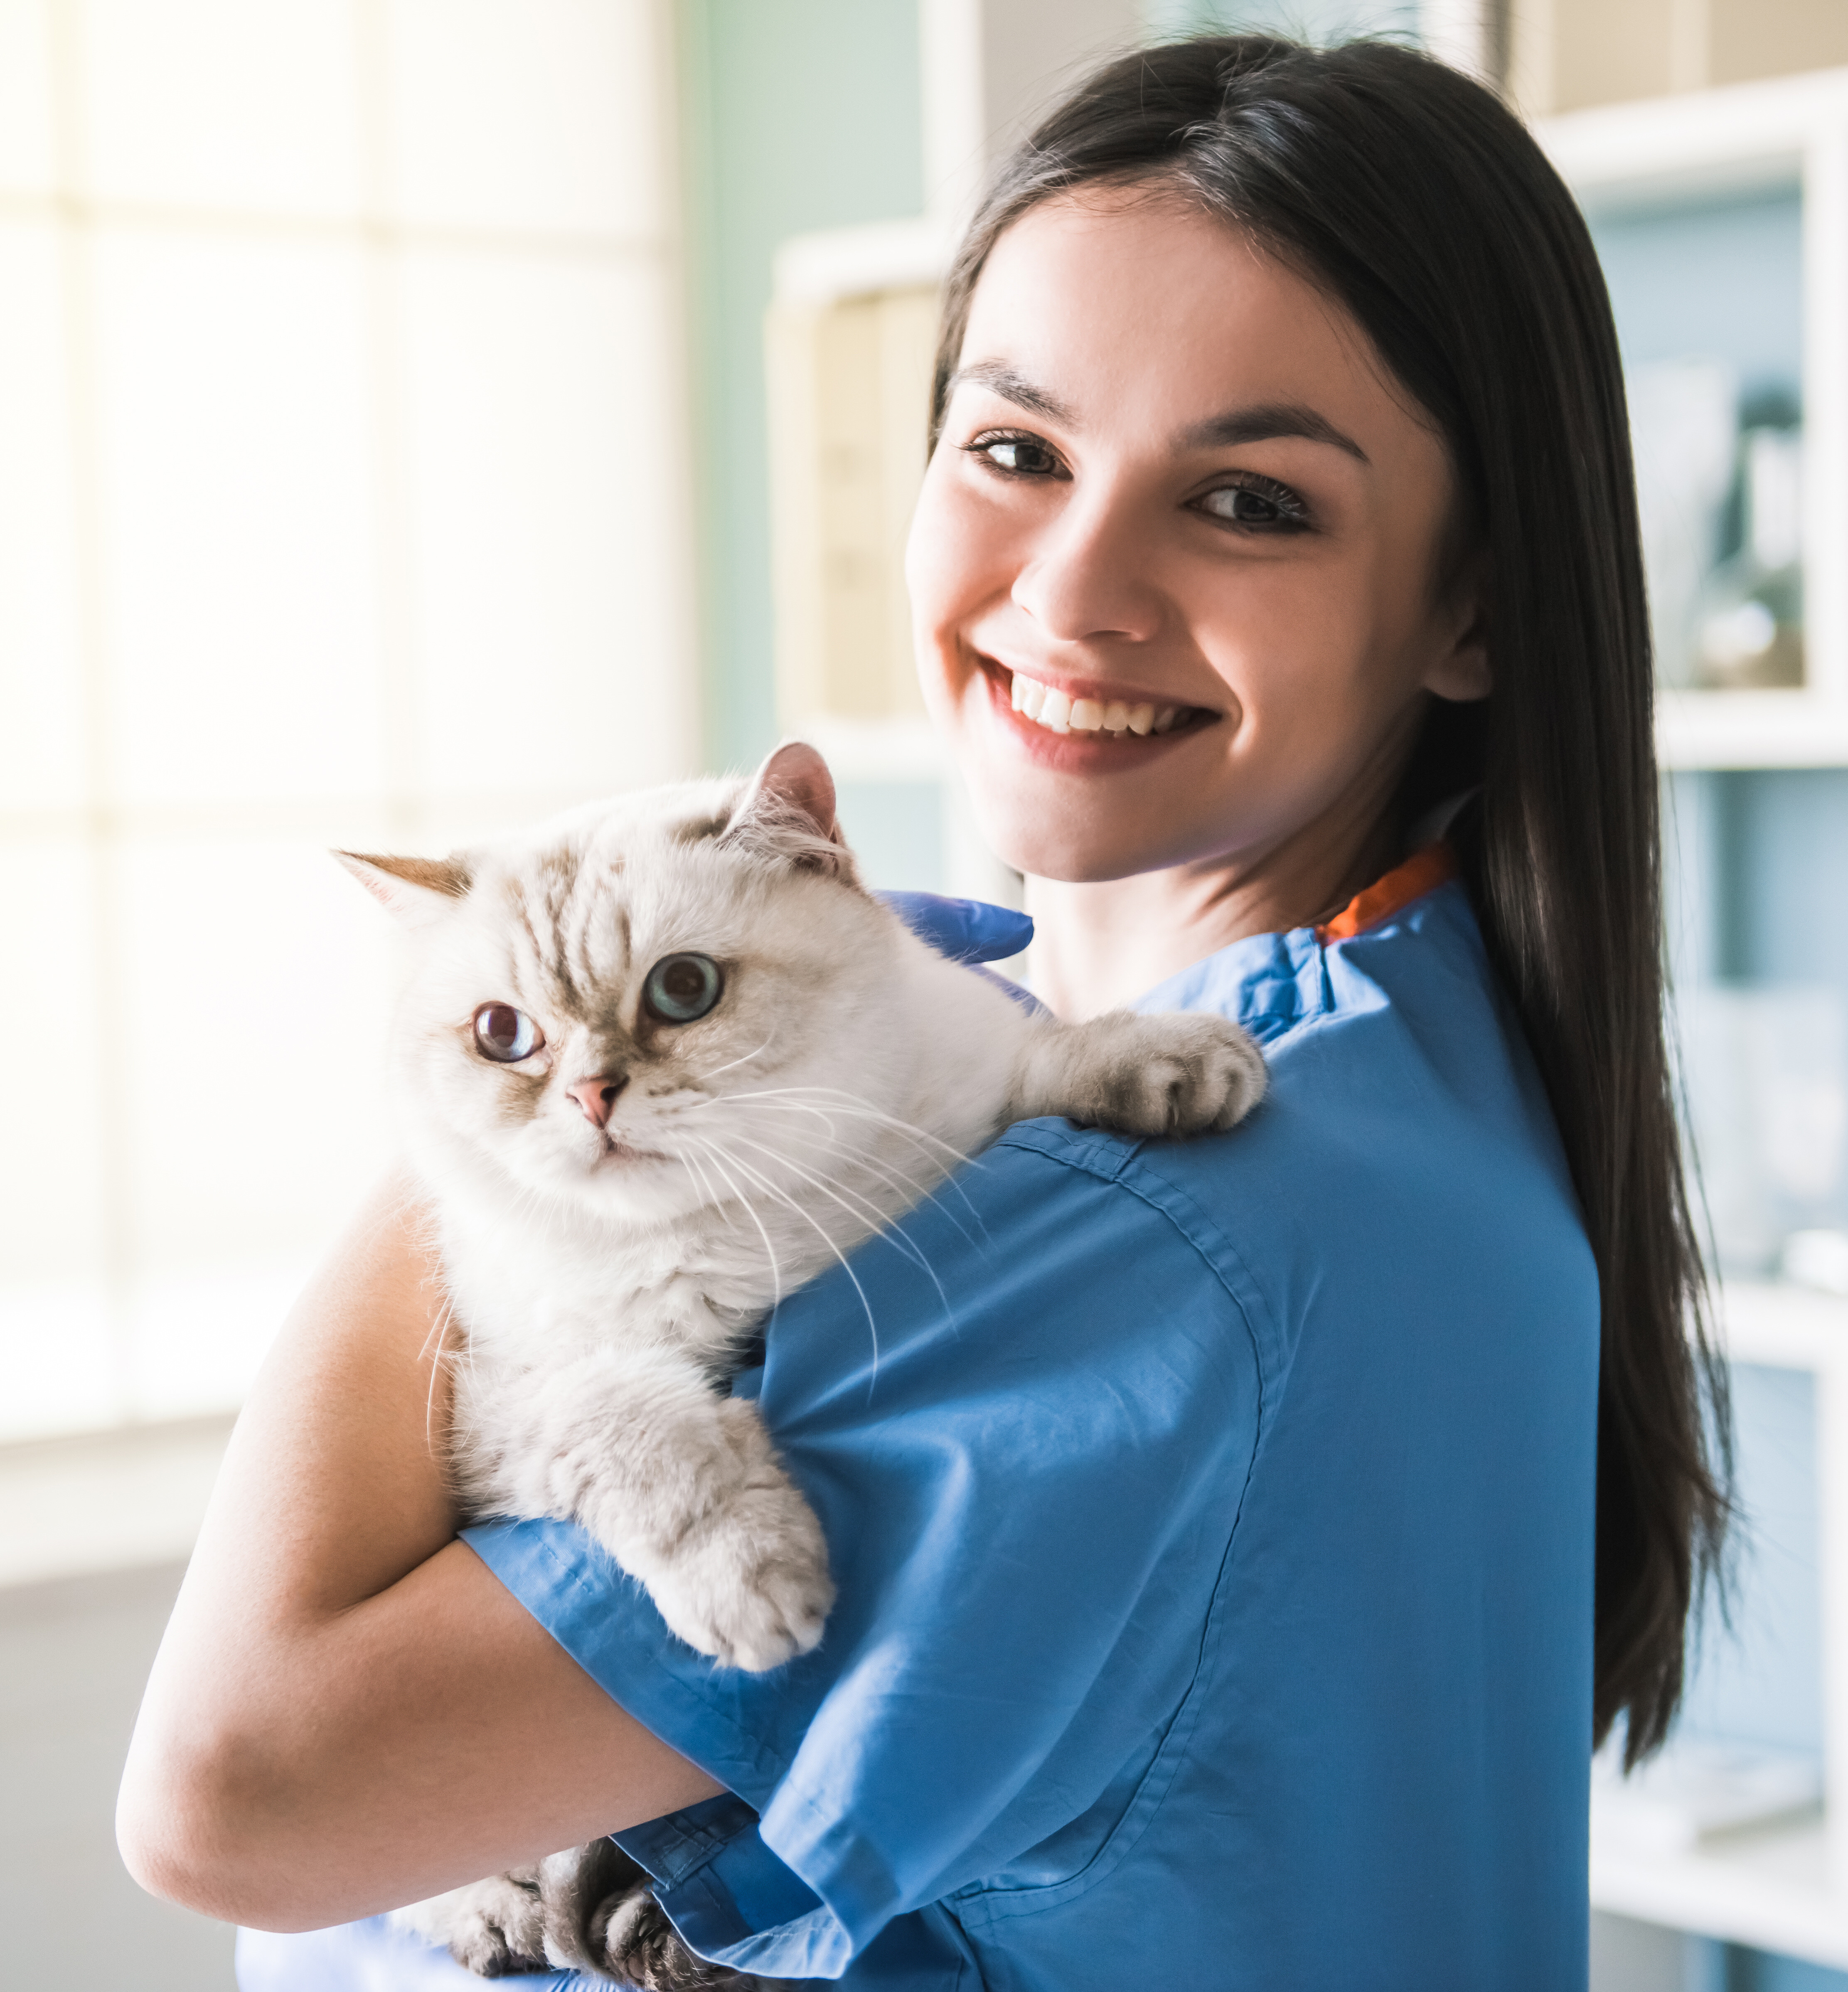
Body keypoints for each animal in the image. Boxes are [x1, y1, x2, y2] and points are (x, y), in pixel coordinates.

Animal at [342, 745, 1274, 1976]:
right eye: (502, 1035)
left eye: (683, 990)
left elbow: (1043, 1056)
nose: (591, 1096)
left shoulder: (955, 1109)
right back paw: (500, 1920)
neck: (747, 1226)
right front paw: (759, 1594)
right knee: (428, 1894)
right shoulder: (505, 1411)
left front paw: (1174, 1058)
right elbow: (654, 1440)